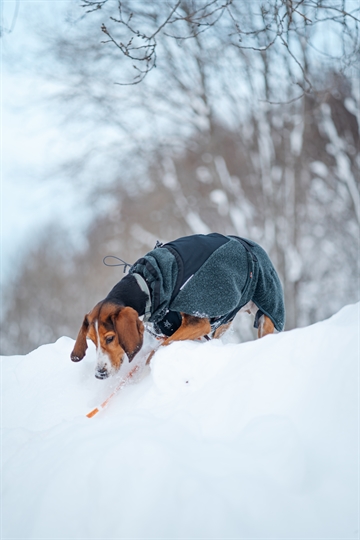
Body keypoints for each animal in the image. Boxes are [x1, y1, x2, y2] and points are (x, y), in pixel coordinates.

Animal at [70, 233, 284, 380]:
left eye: (110, 338)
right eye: (91, 340)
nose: (99, 374)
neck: (147, 284)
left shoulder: (198, 323)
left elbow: (159, 349)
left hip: (268, 311)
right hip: (224, 322)